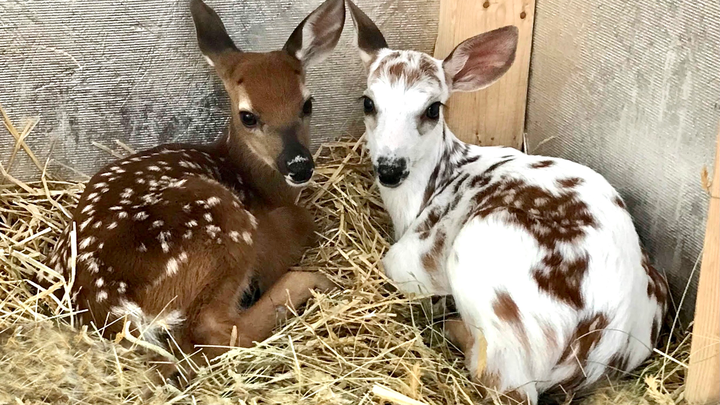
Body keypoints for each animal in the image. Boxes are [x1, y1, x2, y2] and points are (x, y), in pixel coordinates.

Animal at [46, 0, 345, 381]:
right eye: (248, 116)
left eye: (307, 104)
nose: (299, 164)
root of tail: (114, 311)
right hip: (222, 224)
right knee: (215, 332)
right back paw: (314, 282)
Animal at [345, 2, 668, 403]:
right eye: (368, 102)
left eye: (433, 108)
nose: (390, 168)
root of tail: (598, 337)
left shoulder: (411, 263)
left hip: (482, 259)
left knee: (504, 383)